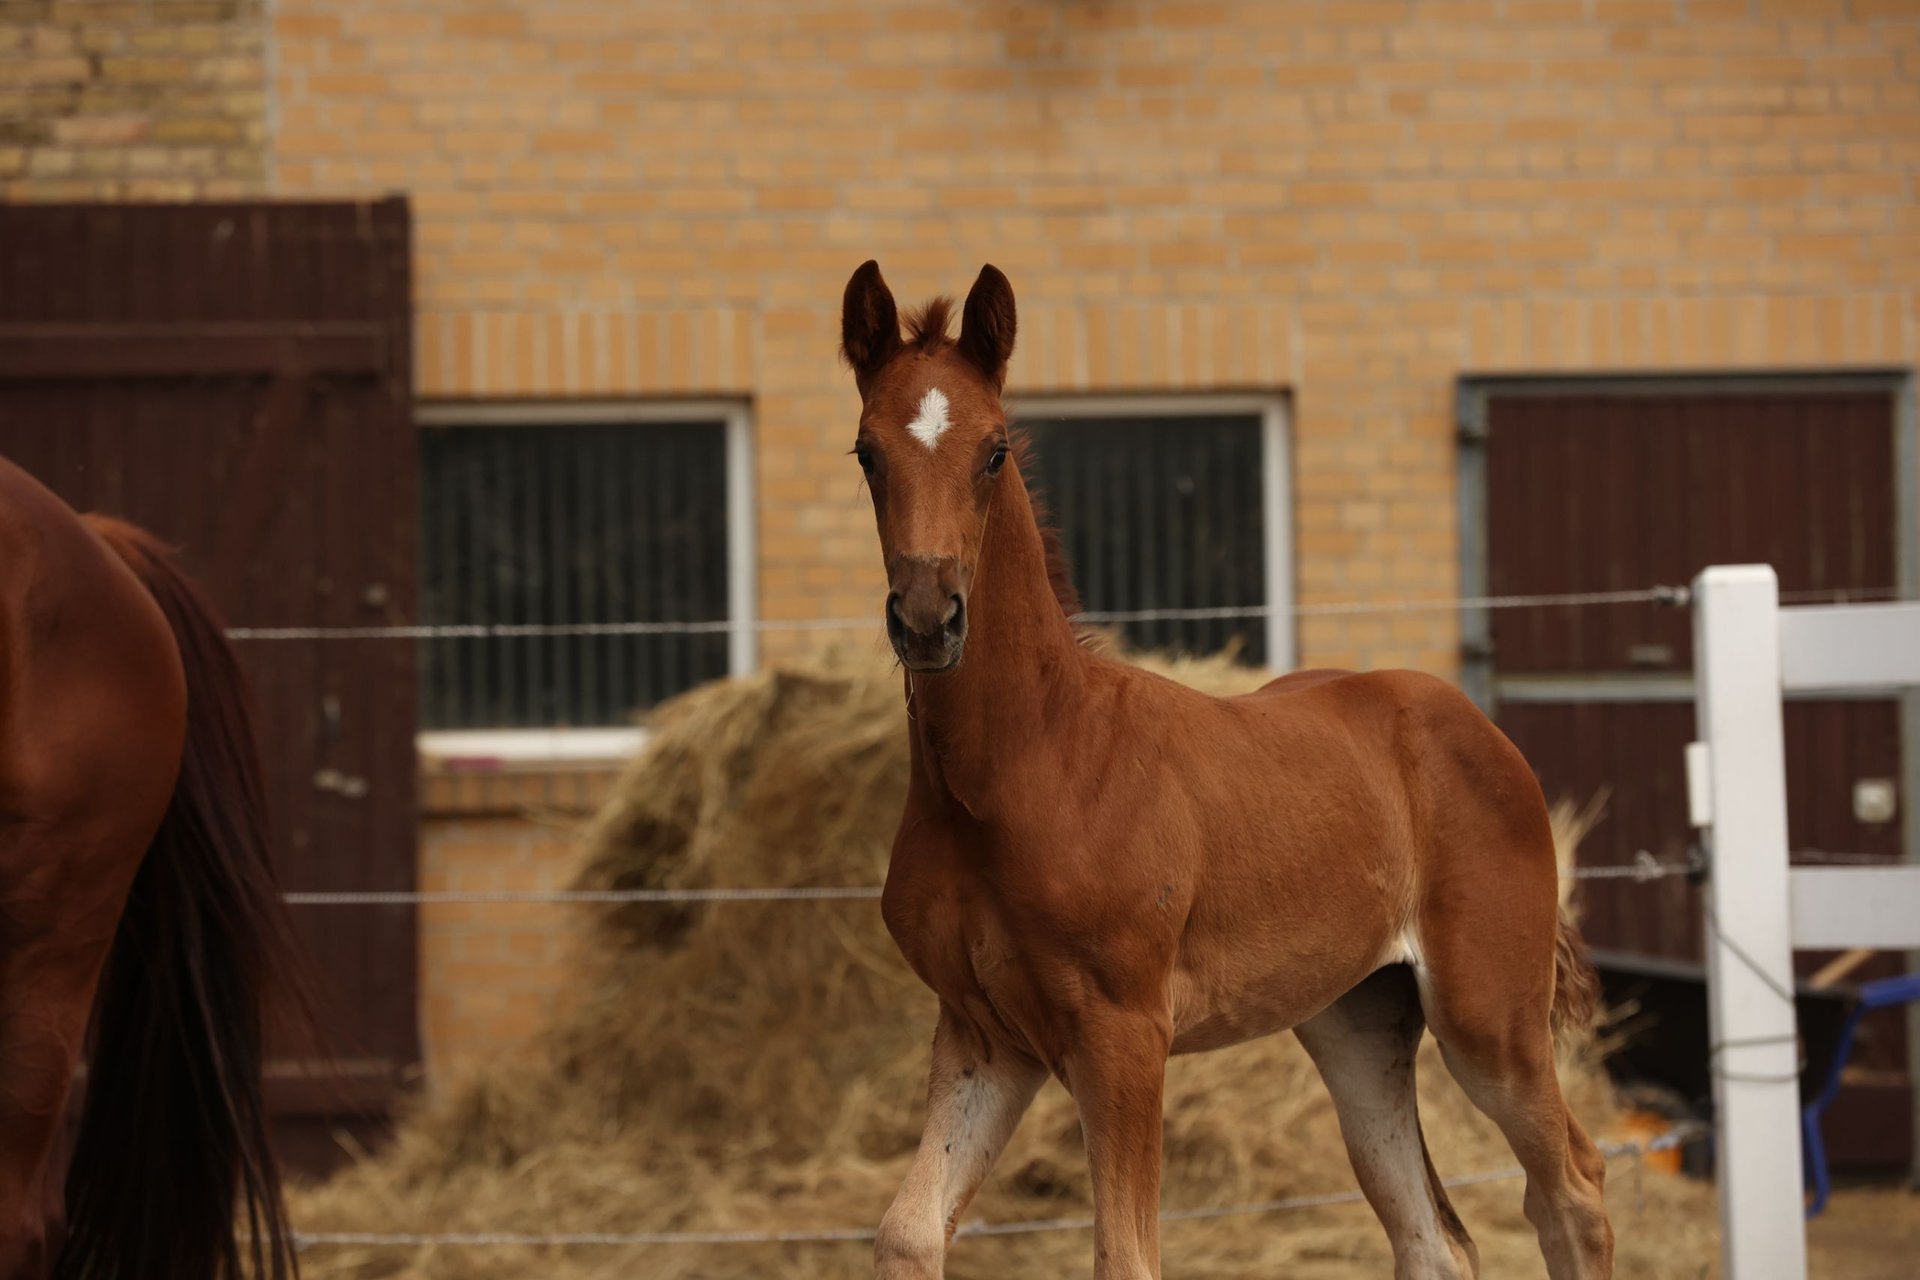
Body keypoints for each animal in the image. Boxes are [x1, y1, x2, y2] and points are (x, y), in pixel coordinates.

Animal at [848, 262, 1612, 1280]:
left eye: (995, 451)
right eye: (867, 453)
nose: (930, 619)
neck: (1029, 764)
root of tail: (1482, 732)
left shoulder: (1124, 1034)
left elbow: (1124, 1257)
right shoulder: (986, 1036)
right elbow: (908, 1231)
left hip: (1489, 1017)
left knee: (1572, 1190)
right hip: (1356, 1022)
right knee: (1433, 1236)